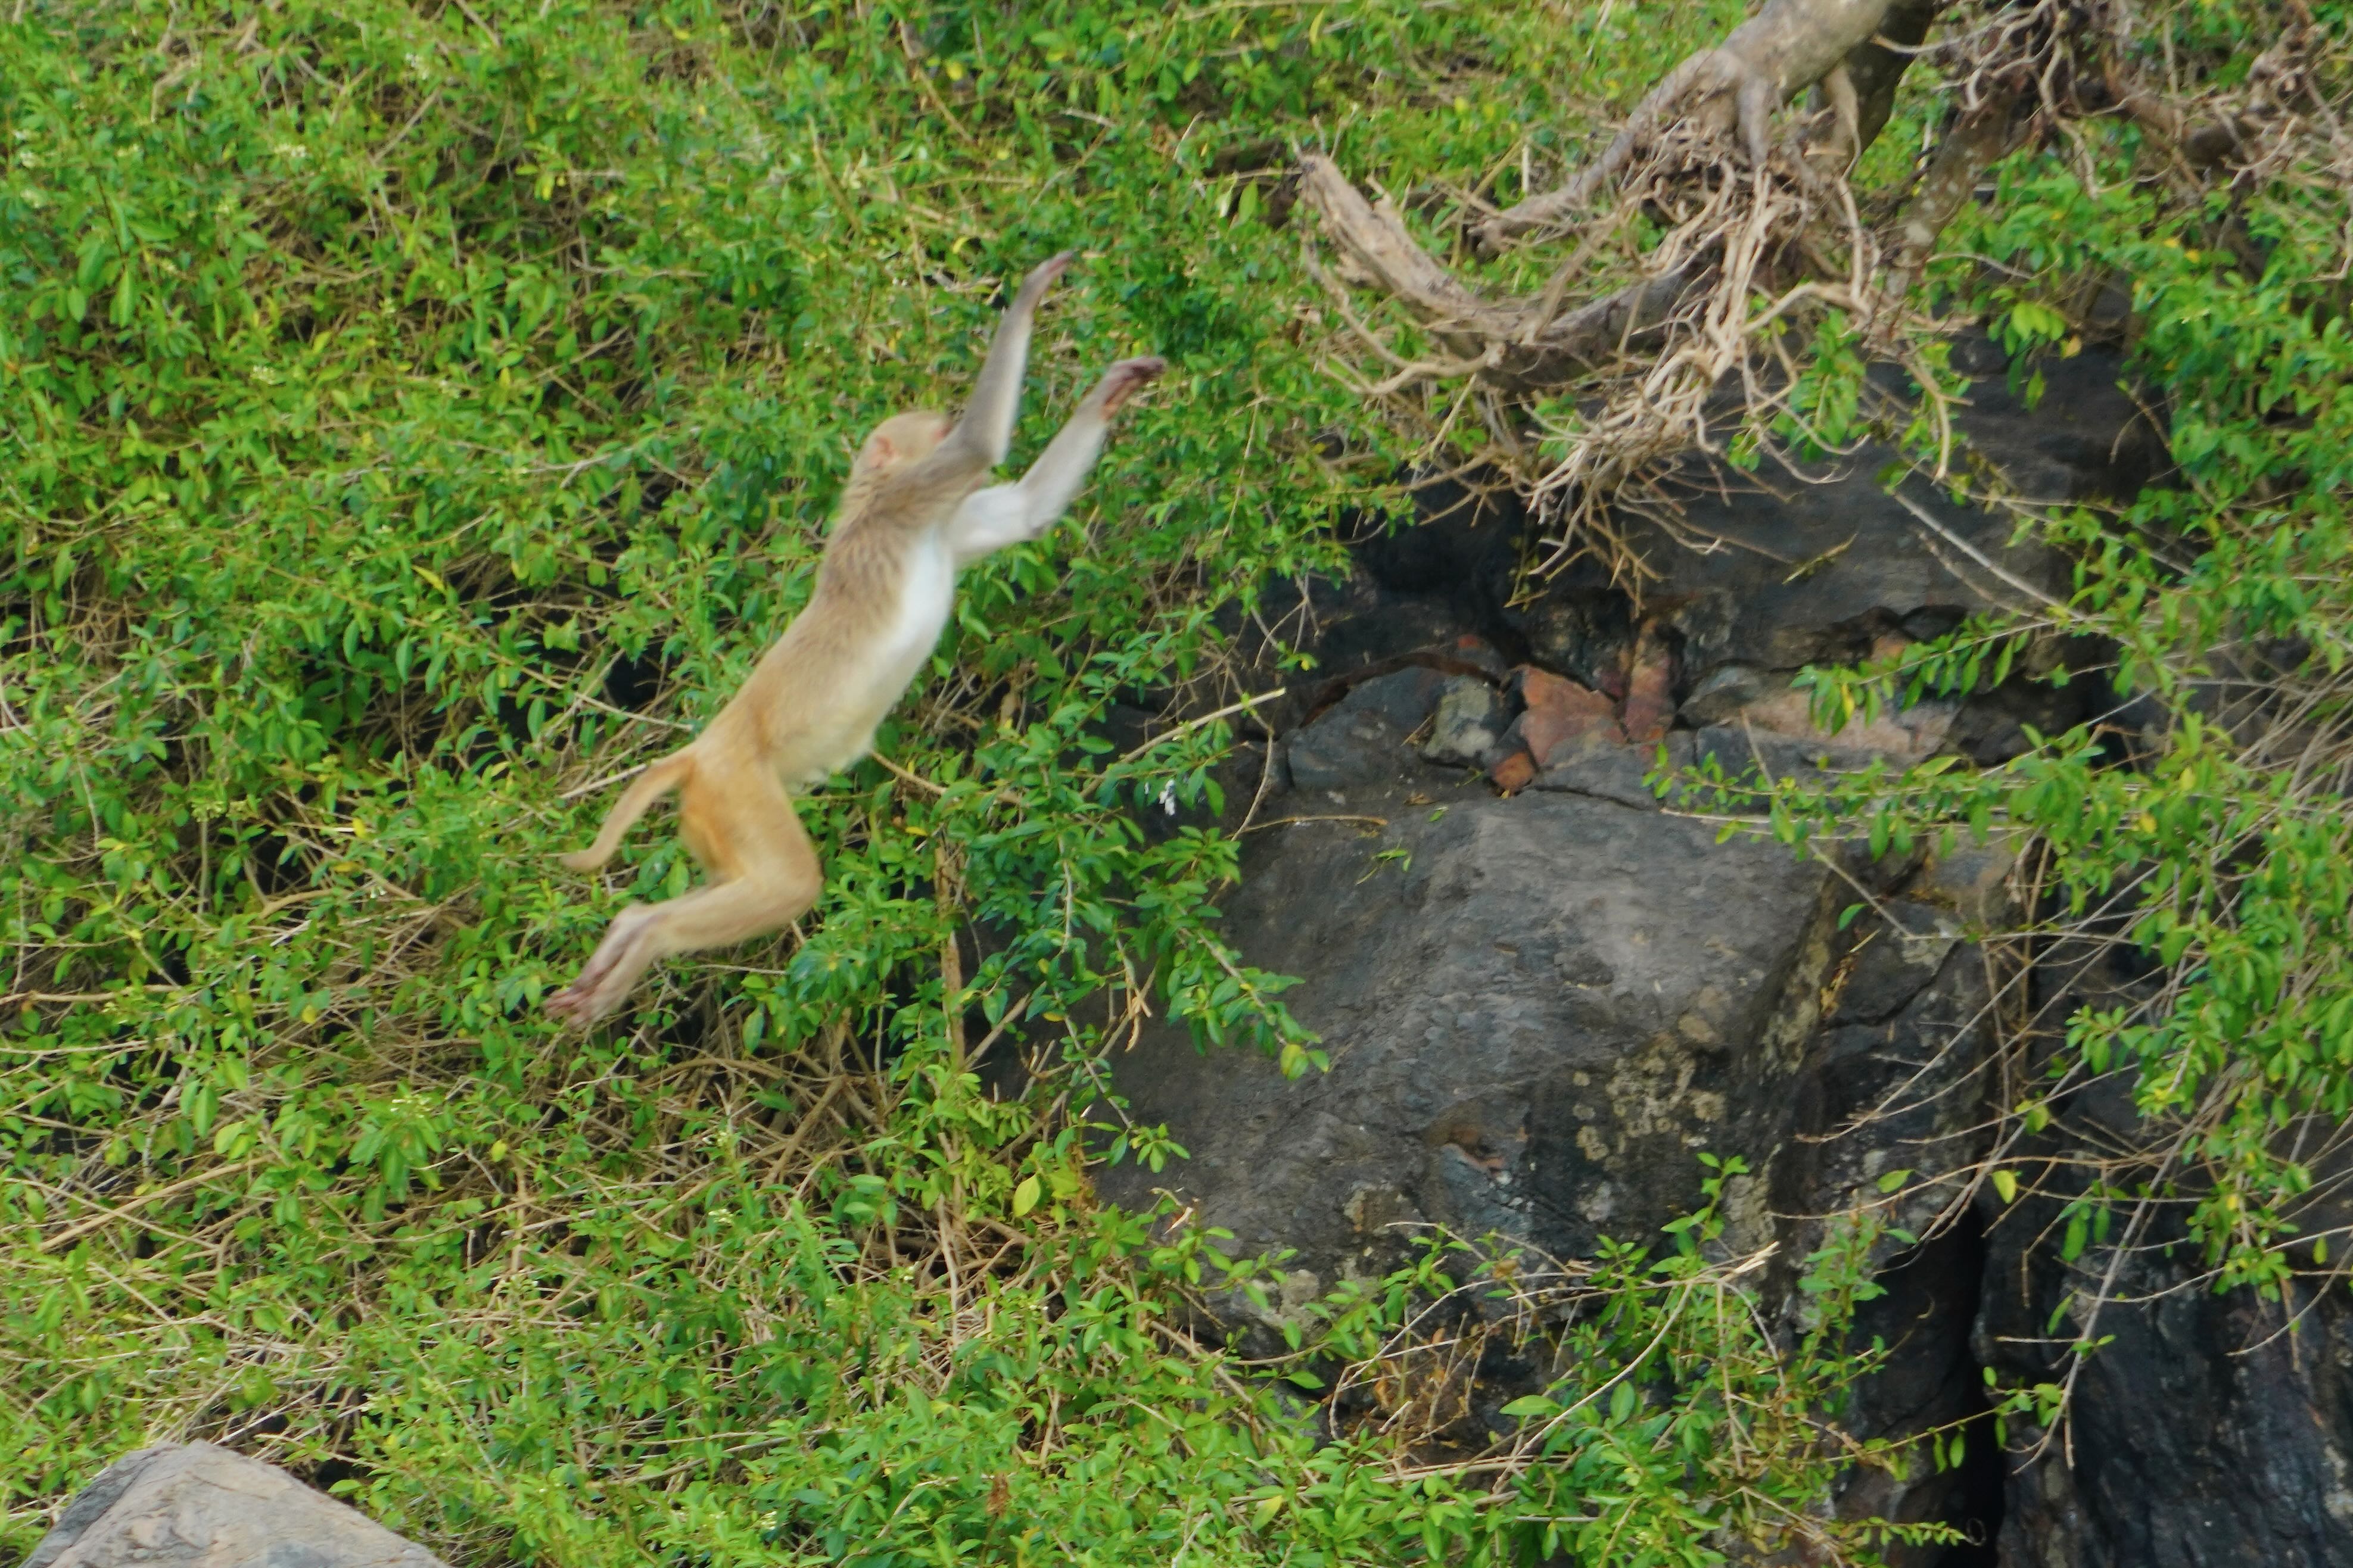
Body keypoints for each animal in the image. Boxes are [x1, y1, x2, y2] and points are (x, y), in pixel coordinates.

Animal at [543, 252, 1165, 1025]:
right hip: (739, 791)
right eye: (937, 427)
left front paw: (1112, 388)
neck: (877, 502)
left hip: (712, 812)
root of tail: (702, 750)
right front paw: (1029, 296)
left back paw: (629, 931)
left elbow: (1026, 511)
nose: (943, 414)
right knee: (787, 884)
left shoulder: (946, 527)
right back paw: (648, 936)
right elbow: (981, 449)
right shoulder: (912, 502)